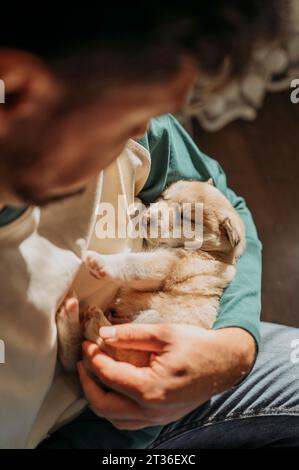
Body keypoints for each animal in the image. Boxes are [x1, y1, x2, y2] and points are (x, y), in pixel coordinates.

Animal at [56, 180, 246, 370]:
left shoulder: (162, 267)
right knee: (73, 356)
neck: (210, 251)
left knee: (119, 350)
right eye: (163, 197)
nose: (146, 218)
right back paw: (69, 314)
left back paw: (94, 321)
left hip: (154, 322)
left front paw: (99, 261)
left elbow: (130, 263)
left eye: (186, 218)